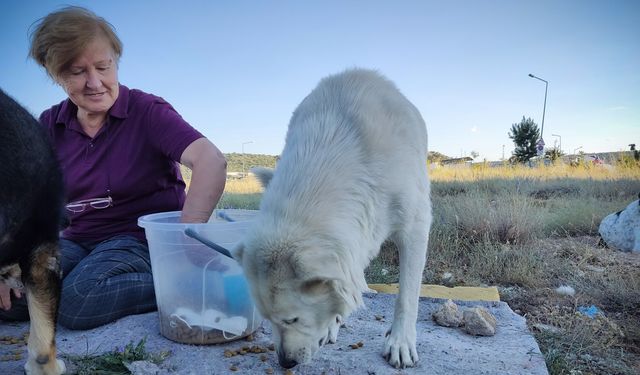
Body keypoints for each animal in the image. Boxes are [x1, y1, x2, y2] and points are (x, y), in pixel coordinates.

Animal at [232, 68, 432, 370]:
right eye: (266, 319)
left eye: (292, 319)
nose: (285, 363)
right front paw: (332, 323)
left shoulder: (415, 226)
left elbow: (407, 295)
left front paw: (400, 342)